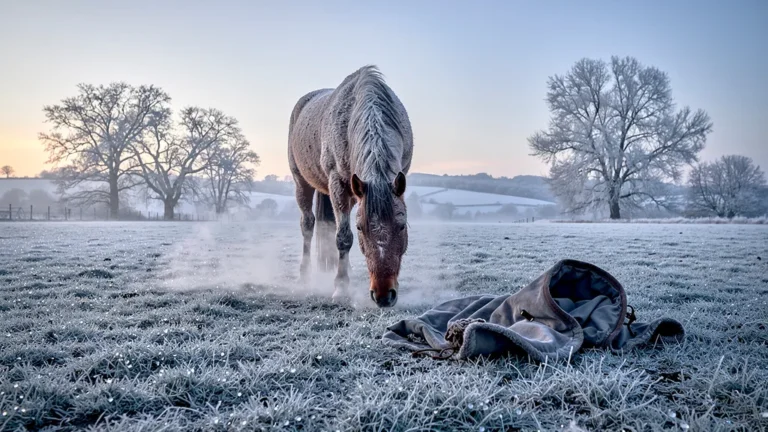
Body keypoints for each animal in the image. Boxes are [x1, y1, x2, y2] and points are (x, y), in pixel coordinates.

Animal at [287, 65, 413, 308]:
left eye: (402, 226)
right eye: (360, 228)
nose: (384, 295)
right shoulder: (337, 182)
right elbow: (343, 237)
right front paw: (341, 288)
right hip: (302, 182)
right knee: (307, 224)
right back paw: (304, 277)